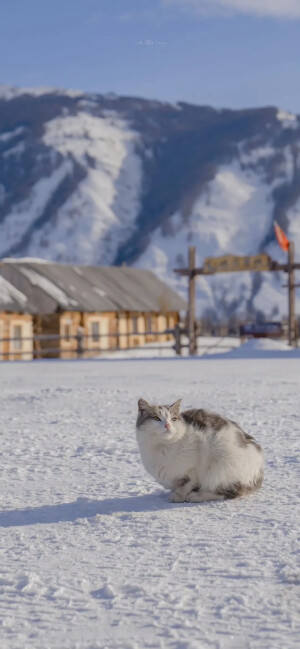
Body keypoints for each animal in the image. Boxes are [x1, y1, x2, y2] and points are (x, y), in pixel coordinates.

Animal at [135, 398, 264, 504]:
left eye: (173, 419)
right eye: (156, 418)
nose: (167, 425)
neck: (161, 447)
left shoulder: (192, 469)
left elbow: (185, 484)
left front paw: (178, 496)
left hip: (222, 466)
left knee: (230, 491)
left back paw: (195, 496)